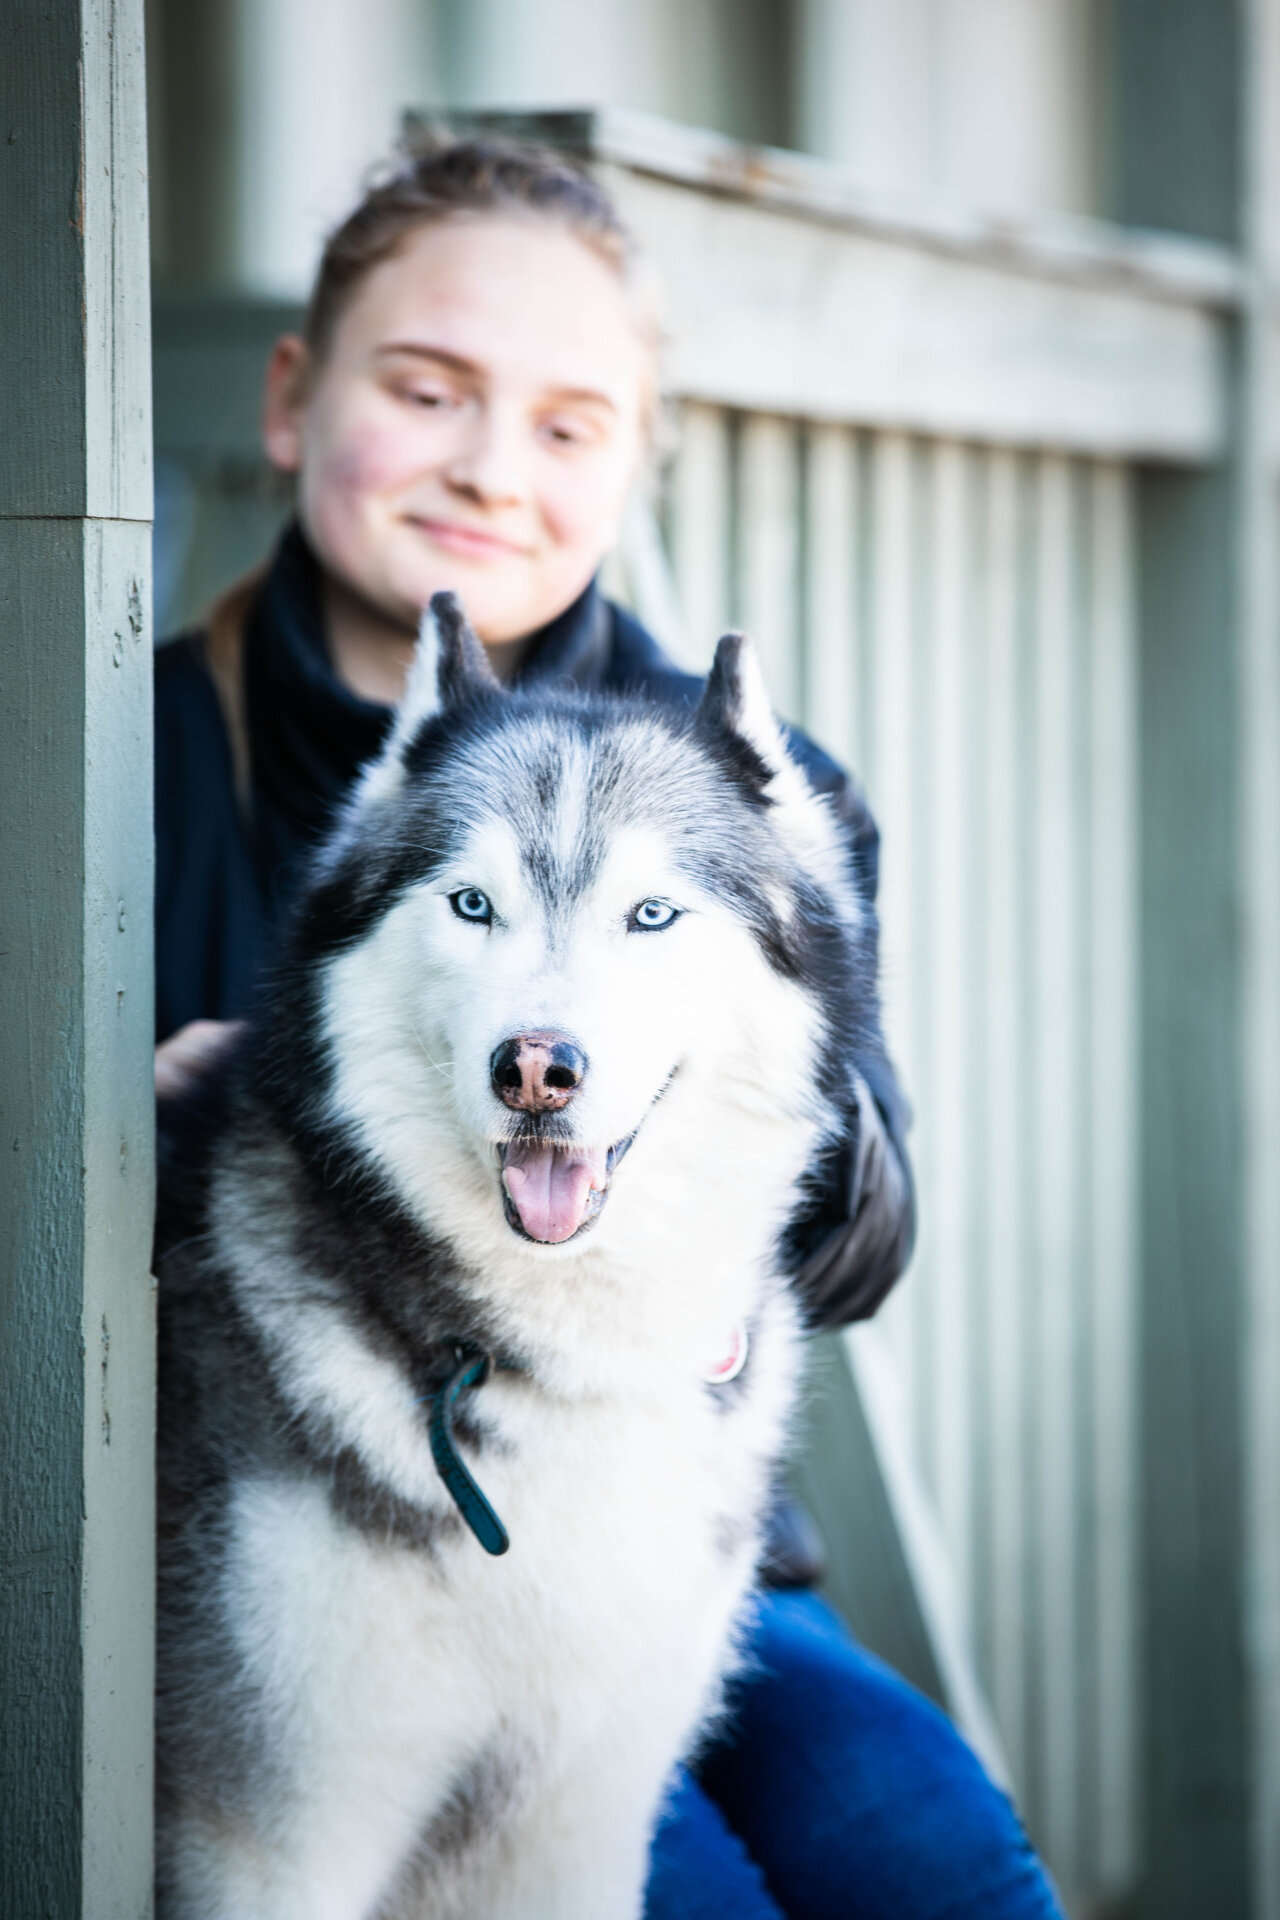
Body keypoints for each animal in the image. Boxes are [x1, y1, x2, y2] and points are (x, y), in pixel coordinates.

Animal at [157, 591, 882, 1912]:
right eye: (470, 904)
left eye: (651, 913)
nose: (537, 1067)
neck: (558, 1358)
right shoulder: (271, 1837)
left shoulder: (579, 1821)